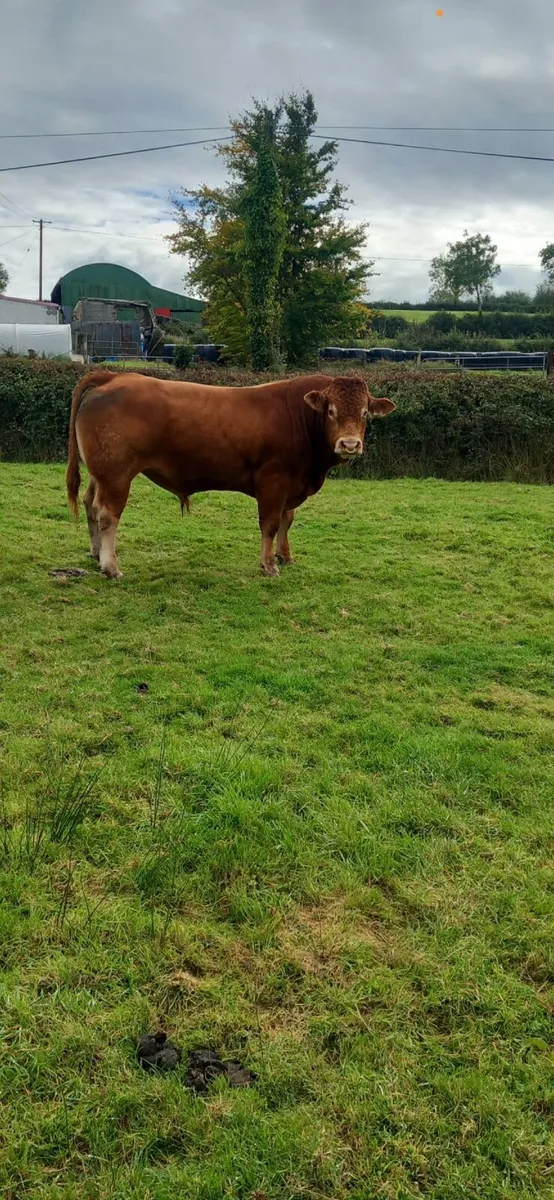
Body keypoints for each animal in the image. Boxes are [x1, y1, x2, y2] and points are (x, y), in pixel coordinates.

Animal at [66, 370, 395, 579]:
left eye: (365, 413)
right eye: (331, 411)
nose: (350, 444)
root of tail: (112, 376)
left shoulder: (291, 485)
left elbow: (287, 521)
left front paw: (286, 556)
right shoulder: (273, 482)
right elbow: (270, 524)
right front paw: (269, 565)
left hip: (100, 473)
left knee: (89, 503)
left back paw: (95, 553)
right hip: (117, 475)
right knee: (107, 515)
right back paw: (111, 566)